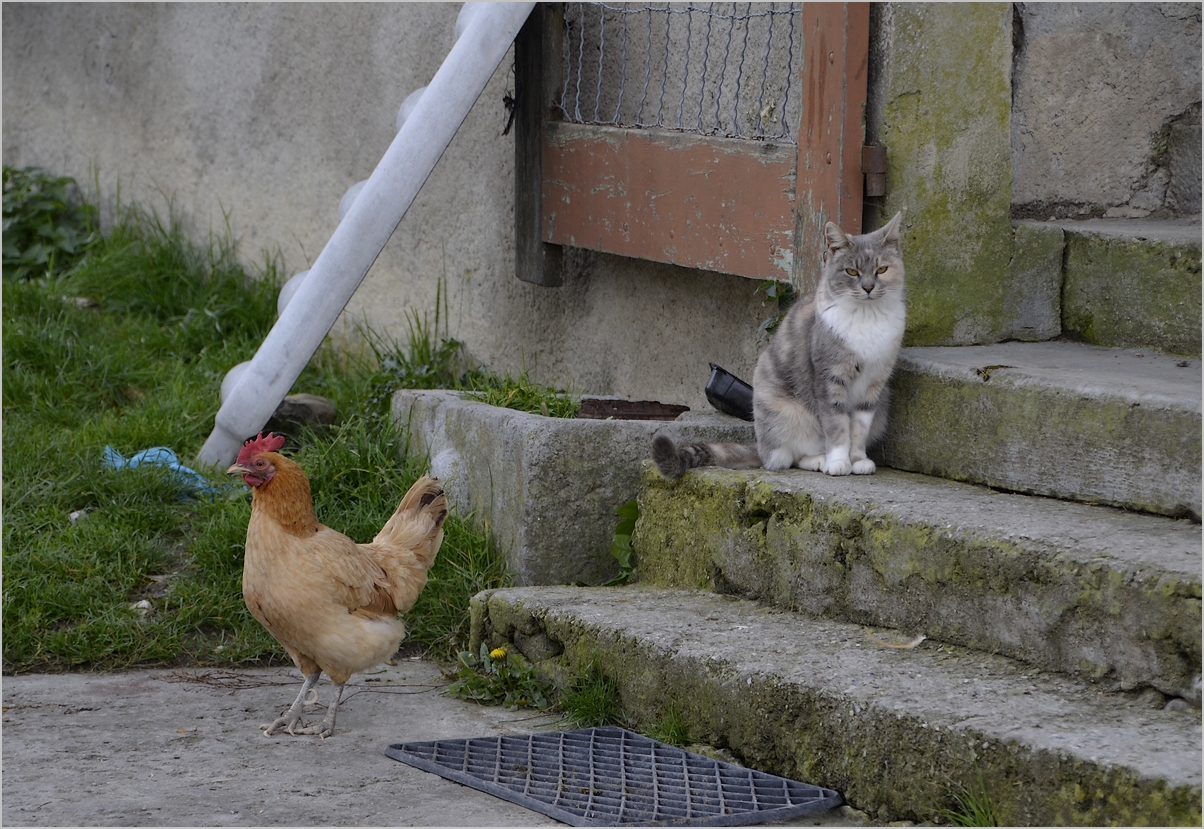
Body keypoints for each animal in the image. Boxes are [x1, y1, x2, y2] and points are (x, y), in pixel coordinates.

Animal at [659, 210, 905, 476]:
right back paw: (819, 460)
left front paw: (858, 459)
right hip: (786, 413)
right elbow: (836, 424)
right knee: (788, 457)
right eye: (851, 272)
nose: (868, 287)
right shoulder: (829, 377)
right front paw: (839, 462)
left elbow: (859, 427)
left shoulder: (875, 383)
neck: (867, 318)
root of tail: (760, 447)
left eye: (882, 269)